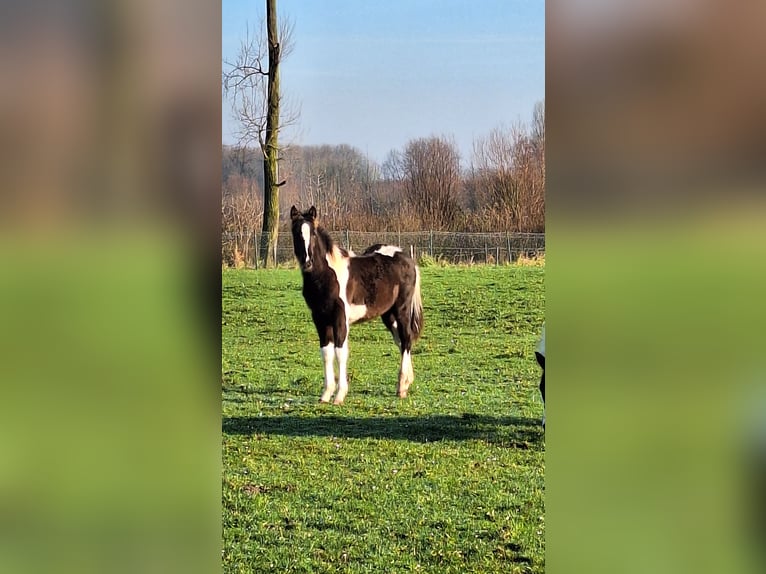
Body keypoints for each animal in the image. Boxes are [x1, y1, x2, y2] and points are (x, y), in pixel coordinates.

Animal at [290, 207, 424, 404]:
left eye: (313, 233)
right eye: (296, 233)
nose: (307, 263)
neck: (326, 277)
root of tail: (408, 259)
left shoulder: (340, 318)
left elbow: (340, 352)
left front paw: (339, 395)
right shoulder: (319, 318)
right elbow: (326, 353)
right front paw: (326, 394)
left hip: (402, 309)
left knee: (406, 339)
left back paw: (401, 386)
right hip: (388, 315)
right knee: (401, 341)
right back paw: (406, 383)